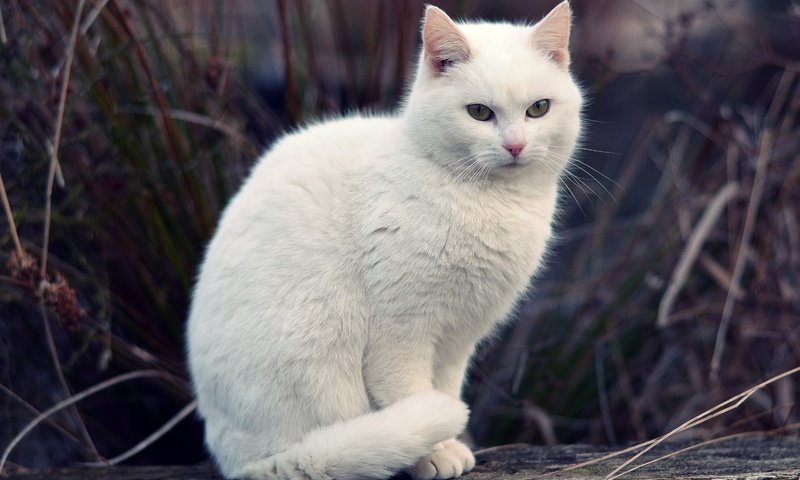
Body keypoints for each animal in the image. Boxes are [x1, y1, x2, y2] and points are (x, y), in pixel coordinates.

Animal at [191, 1, 584, 478]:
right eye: (479, 113)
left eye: (538, 109)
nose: (515, 146)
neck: (490, 202)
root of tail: (241, 462)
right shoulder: (401, 332)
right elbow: (411, 394)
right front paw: (434, 455)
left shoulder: (456, 340)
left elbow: (444, 390)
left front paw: (445, 447)